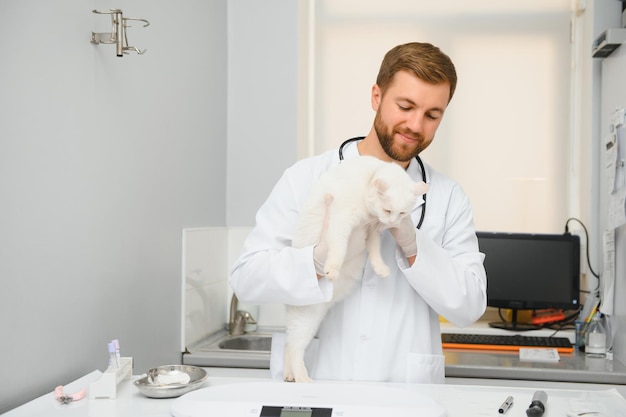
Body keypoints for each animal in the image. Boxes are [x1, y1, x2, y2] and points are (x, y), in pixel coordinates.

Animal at [284, 154, 426, 382]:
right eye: (388, 210)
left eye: (402, 213)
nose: (392, 222)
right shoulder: (340, 222)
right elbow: (339, 248)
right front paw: (332, 267)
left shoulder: (371, 229)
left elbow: (375, 249)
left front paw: (380, 267)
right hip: (305, 317)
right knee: (294, 347)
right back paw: (302, 377)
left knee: (289, 346)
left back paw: (289, 374)